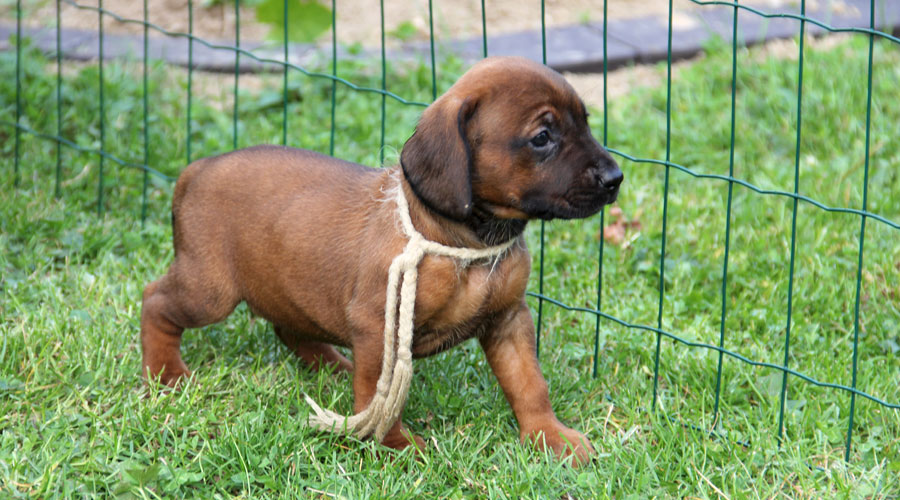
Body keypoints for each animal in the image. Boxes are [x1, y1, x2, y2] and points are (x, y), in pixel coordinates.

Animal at [140, 56, 622, 465]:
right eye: (542, 138)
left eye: (586, 123)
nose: (615, 178)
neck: (465, 244)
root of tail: (197, 169)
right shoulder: (380, 326)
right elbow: (382, 393)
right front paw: (393, 444)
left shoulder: (508, 320)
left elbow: (529, 384)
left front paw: (550, 436)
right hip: (210, 290)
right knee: (156, 300)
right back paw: (165, 373)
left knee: (288, 327)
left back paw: (334, 365)